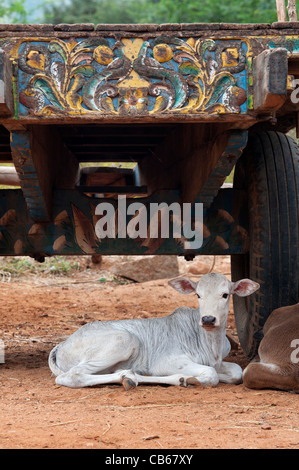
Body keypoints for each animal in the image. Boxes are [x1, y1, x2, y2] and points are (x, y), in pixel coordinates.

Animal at [48, 272, 260, 390]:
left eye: (225, 295)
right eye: (198, 295)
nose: (208, 319)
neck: (211, 344)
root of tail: (62, 345)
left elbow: (236, 372)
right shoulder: (166, 361)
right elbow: (211, 373)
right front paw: (193, 380)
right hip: (124, 340)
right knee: (72, 376)